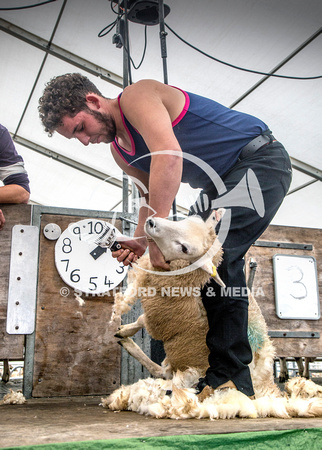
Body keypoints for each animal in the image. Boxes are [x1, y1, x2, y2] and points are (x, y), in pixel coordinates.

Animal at [101, 213, 322, 420]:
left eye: (184, 248)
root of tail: (269, 389)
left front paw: (124, 330)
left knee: (161, 372)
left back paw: (128, 344)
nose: (151, 222)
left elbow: (142, 320)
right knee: (161, 371)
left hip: (194, 369)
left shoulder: (165, 315)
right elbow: (141, 320)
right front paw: (124, 330)